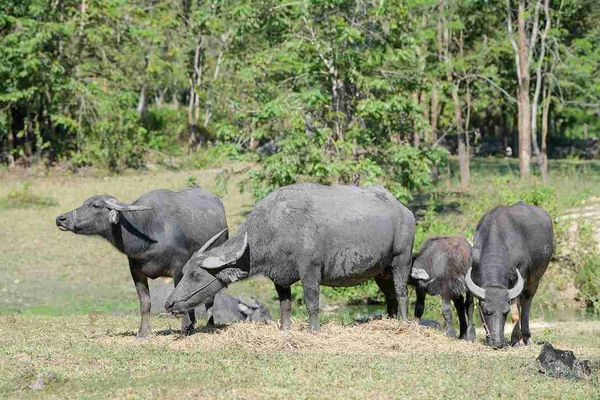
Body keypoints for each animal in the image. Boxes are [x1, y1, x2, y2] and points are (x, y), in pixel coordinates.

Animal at [55, 188, 227, 338]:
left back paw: (209, 324)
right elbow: (145, 303)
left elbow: (181, 296)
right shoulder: (136, 271)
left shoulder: (179, 269)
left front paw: (186, 328)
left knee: (209, 296)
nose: (61, 219)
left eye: (96, 205)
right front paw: (143, 333)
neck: (149, 235)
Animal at [165, 183, 418, 330]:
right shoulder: (280, 277)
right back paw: (390, 321)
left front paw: (313, 330)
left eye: (196, 275)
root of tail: (405, 211)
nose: (169, 303)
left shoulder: (310, 272)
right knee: (390, 295)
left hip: (401, 260)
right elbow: (285, 305)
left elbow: (312, 304)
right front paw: (285, 329)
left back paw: (404, 323)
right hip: (381, 270)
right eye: (185, 272)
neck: (275, 228)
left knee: (401, 292)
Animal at [466, 203, 556, 346]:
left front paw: (516, 341)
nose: (497, 342)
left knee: (526, 304)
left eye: (505, 311)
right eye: (486, 311)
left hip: (534, 281)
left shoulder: (521, 276)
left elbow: (515, 312)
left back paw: (526, 337)